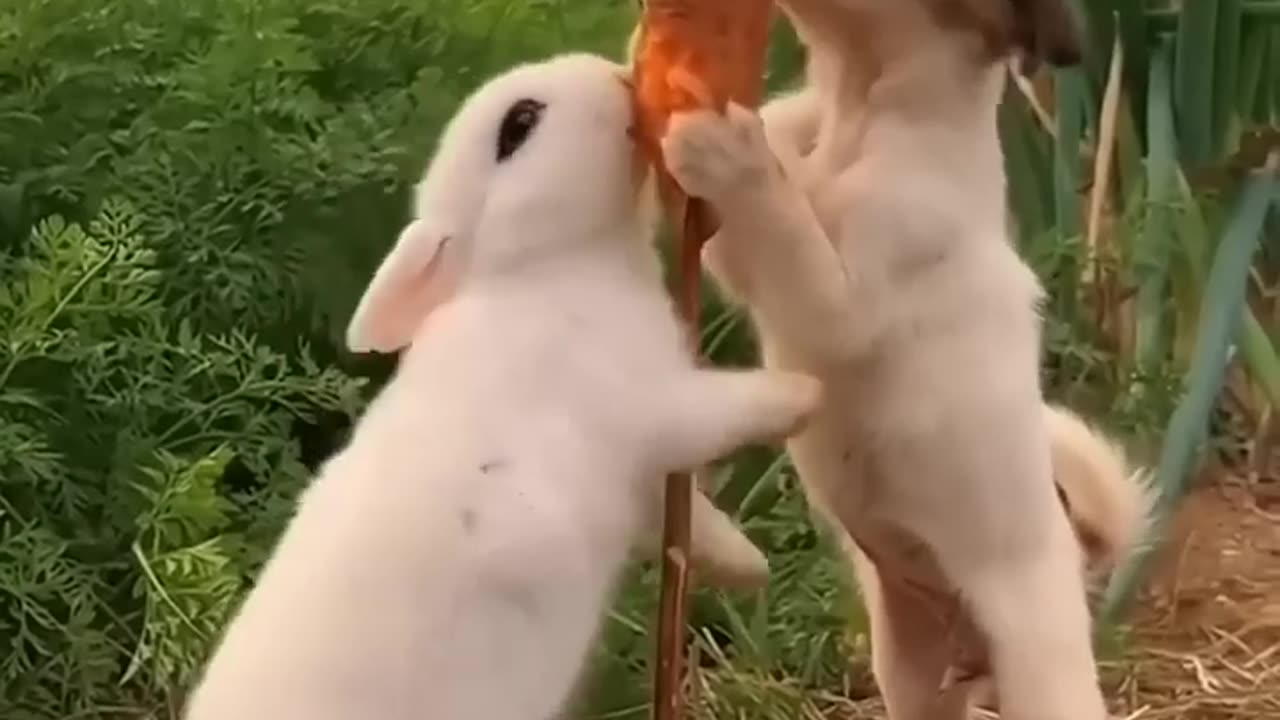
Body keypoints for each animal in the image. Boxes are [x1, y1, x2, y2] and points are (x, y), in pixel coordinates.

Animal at [180, 51, 819, 717]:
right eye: (519, 124)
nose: (614, 72)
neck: (545, 264)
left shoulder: (645, 483)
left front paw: (749, 566)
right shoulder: (650, 403)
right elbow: (727, 408)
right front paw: (805, 393)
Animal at [660, 1, 1152, 717]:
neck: (860, 110)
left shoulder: (842, 303)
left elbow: (781, 218)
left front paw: (727, 154)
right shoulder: (742, 257)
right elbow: (773, 183)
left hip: (1041, 673)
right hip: (909, 666)